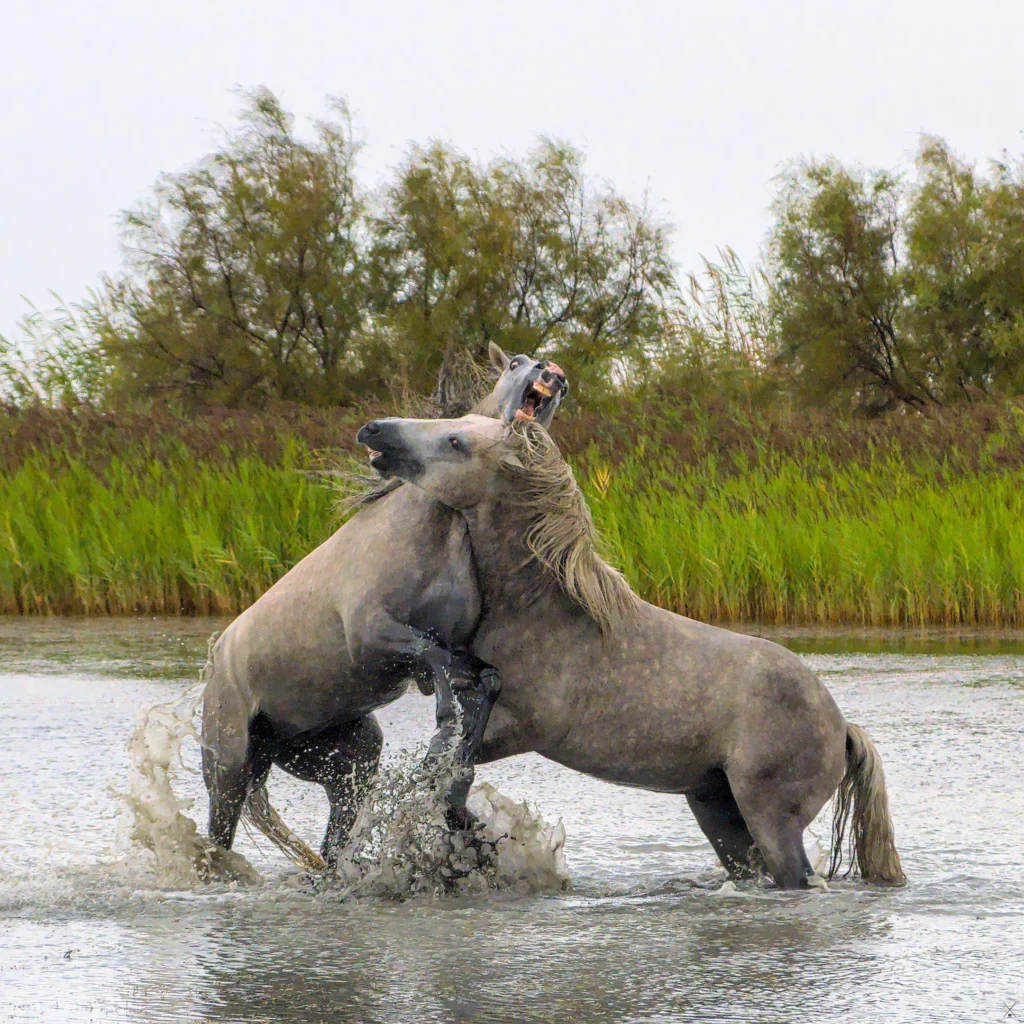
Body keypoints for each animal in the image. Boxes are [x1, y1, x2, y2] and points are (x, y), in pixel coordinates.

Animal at [199, 346, 567, 871]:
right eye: (515, 362)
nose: (551, 374)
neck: (430, 526)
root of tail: (215, 664)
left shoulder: (447, 650)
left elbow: (487, 679)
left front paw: (455, 780)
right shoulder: (375, 635)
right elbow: (435, 663)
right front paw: (440, 743)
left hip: (342, 762)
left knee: (333, 846)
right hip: (229, 769)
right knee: (218, 837)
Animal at [353, 414, 906, 890]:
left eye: (456, 442)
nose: (375, 431)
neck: (540, 613)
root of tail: (842, 726)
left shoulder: (517, 730)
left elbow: (445, 776)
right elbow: (441, 772)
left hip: (772, 819)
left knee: (798, 879)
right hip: (718, 809)